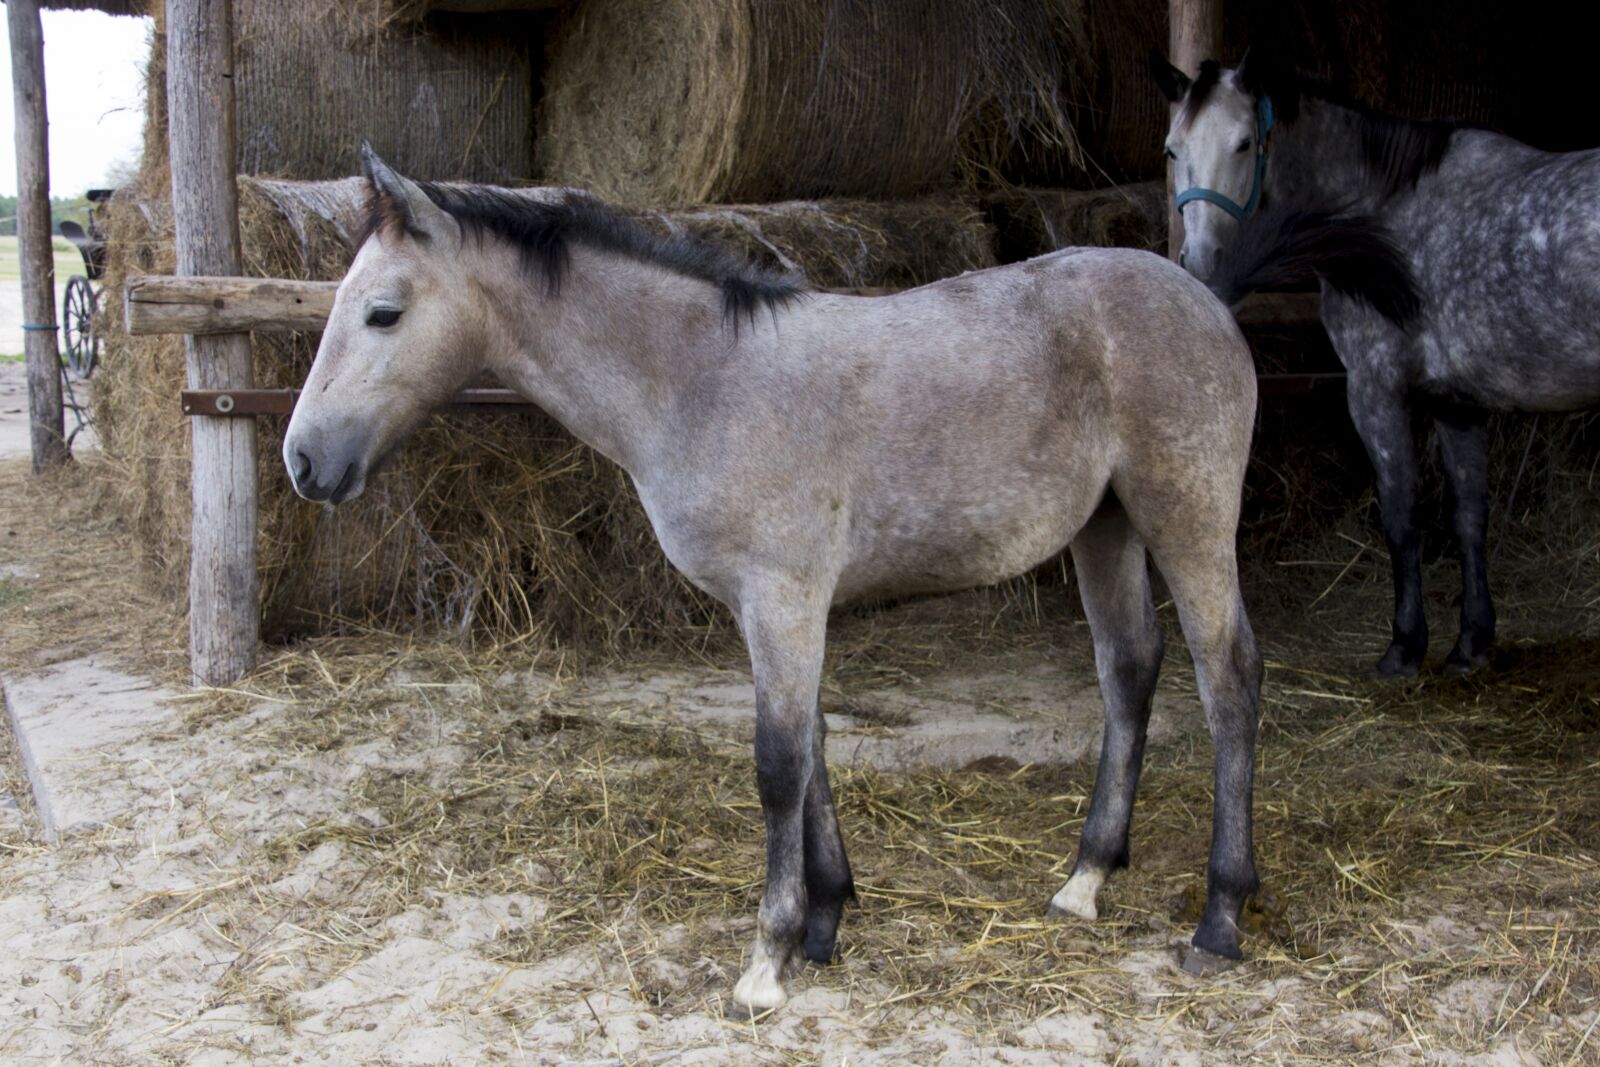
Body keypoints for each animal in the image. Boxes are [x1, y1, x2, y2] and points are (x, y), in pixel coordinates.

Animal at [282, 147, 1405, 1010]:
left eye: (382, 313)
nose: (302, 461)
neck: (701, 380)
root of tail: (1204, 295)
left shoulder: (783, 595)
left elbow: (779, 760)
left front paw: (768, 959)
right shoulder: (778, 606)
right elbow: (815, 740)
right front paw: (826, 919)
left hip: (1187, 514)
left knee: (1228, 676)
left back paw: (1219, 915)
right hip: (1106, 526)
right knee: (1131, 667)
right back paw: (1085, 880)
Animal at [1155, 50, 1600, 678]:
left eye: (1243, 144)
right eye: (1174, 149)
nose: (1199, 263)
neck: (1385, 213)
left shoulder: (1374, 391)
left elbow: (1401, 516)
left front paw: (1404, 646)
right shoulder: (1455, 404)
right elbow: (1469, 517)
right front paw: (1471, 643)